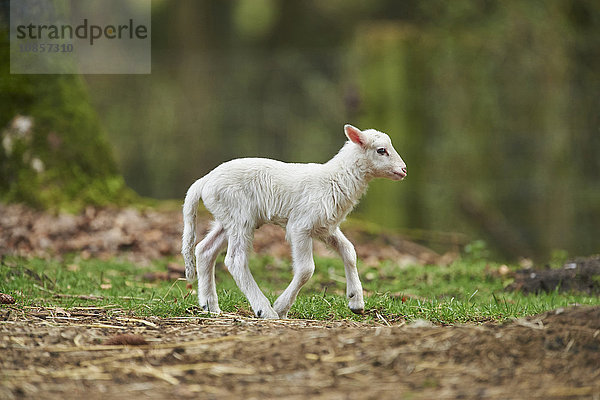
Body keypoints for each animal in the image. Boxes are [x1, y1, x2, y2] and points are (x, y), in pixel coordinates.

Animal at [182, 124, 408, 318]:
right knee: (235, 260)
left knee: (205, 250)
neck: (334, 179)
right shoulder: (300, 226)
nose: (404, 170)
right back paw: (265, 310)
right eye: (381, 150)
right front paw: (281, 308)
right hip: (240, 216)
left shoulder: (325, 227)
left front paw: (356, 302)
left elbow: (349, 251)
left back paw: (210, 307)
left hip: (227, 218)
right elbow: (306, 270)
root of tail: (204, 181)